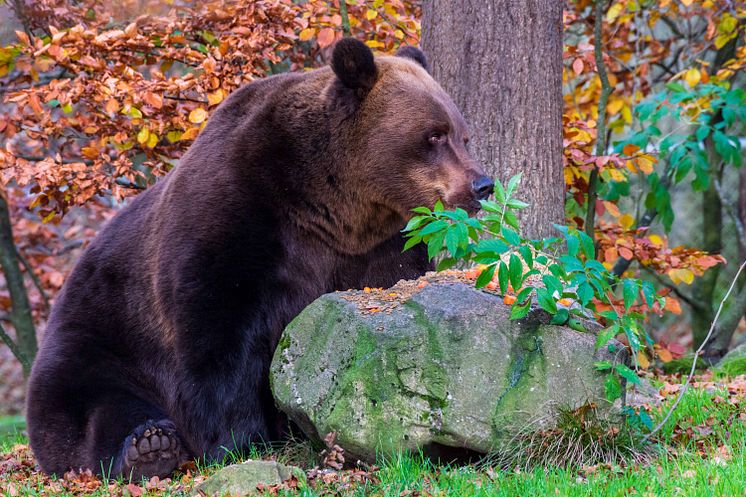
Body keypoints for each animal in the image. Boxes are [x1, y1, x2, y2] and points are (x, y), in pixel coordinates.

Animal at [26, 38, 492, 476]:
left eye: (463, 135)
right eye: (433, 135)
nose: (482, 185)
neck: (332, 205)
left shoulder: (376, 249)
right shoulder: (239, 221)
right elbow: (220, 337)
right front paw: (239, 441)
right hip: (100, 338)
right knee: (94, 407)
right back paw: (149, 448)